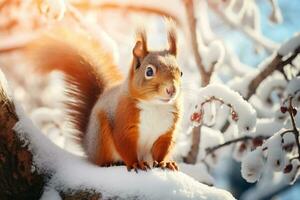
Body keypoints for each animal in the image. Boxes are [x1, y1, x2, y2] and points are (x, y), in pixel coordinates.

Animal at [28, 25, 183, 172]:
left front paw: (165, 163)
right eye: (149, 71)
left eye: (181, 73)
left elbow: (162, 151)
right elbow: (125, 144)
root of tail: (88, 145)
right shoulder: (124, 122)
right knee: (101, 160)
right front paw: (135, 164)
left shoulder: (166, 133)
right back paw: (110, 163)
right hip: (101, 136)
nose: (171, 90)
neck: (155, 105)